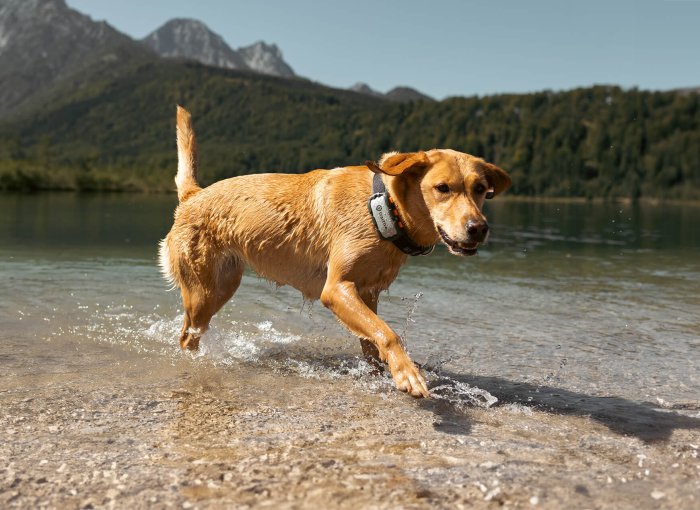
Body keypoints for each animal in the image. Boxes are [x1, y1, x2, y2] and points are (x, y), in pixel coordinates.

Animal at [157, 105, 508, 396]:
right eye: (442, 188)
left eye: (480, 189)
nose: (479, 228)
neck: (383, 208)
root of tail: (193, 195)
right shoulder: (337, 289)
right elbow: (388, 334)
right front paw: (408, 374)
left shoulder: (368, 294)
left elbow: (373, 342)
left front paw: (382, 375)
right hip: (203, 293)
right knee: (187, 335)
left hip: (224, 285)